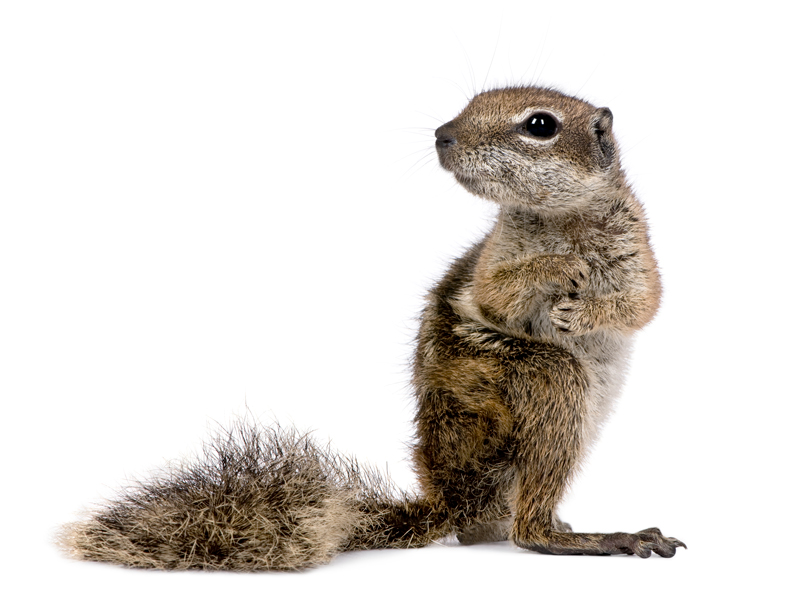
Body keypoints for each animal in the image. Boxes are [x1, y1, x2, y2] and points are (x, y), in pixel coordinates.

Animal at [59, 85, 685, 570]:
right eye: (469, 104)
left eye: (540, 125)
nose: (443, 134)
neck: (562, 220)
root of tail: (451, 498)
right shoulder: (495, 262)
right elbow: (497, 295)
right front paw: (557, 271)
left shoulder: (636, 249)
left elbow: (640, 305)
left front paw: (581, 308)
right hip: (548, 378)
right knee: (526, 532)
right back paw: (599, 536)